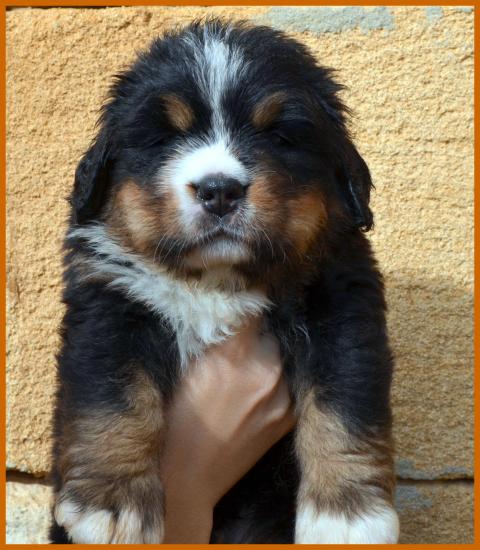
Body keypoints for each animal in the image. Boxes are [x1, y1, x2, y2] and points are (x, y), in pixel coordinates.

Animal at [50, 19, 399, 544]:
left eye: (279, 135)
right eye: (163, 138)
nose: (219, 190)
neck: (215, 284)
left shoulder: (341, 304)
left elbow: (344, 404)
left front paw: (348, 516)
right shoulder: (111, 300)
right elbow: (113, 400)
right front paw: (110, 506)